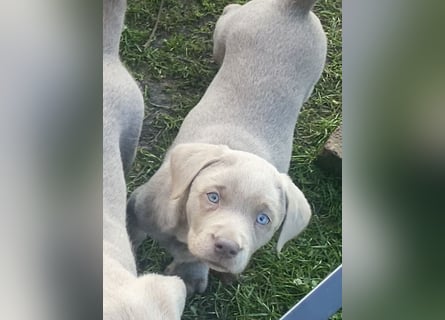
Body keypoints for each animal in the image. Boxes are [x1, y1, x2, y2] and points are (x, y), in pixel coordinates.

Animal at [126, 0, 324, 296]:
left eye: (263, 219)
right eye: (213, 197)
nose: (227, 247)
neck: (183, 229)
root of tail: (294, 9)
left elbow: (192, 259)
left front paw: (188, 275)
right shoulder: (139, 208)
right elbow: (131, 234)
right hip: (229, 29)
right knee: (228, 16)